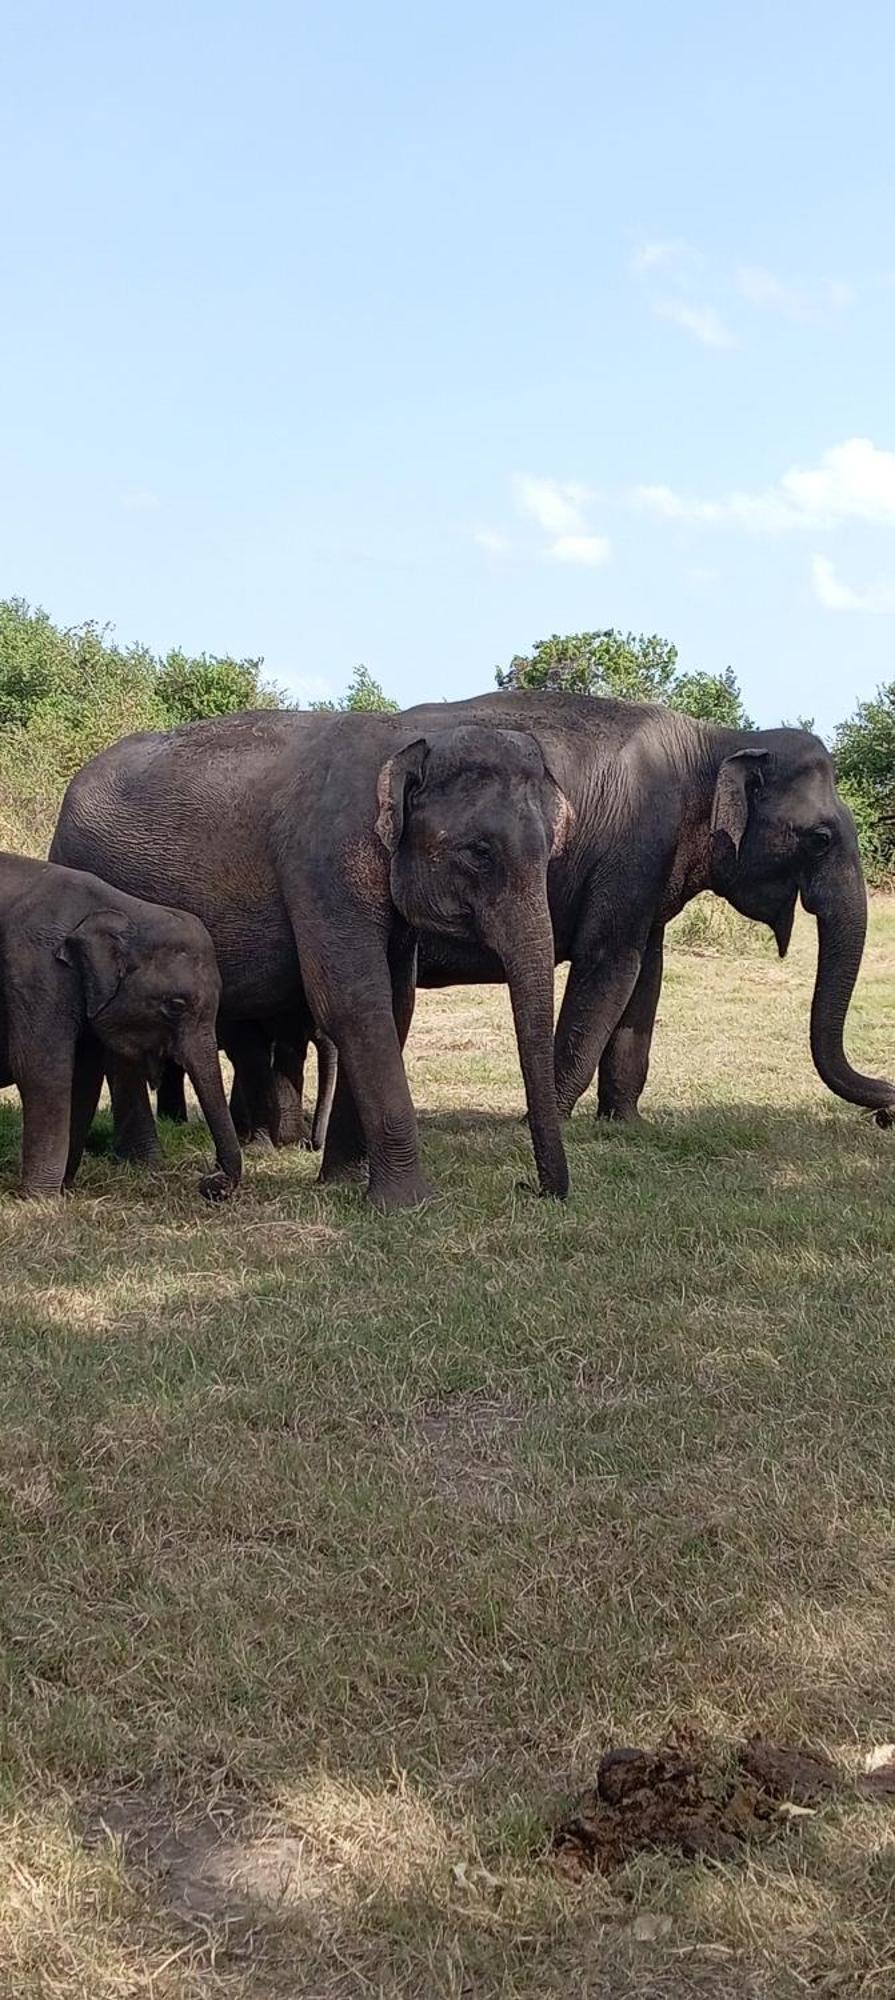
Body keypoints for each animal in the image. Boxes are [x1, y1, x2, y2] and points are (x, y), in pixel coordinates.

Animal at [0, 848, 241, 1192]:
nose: (210, 1181)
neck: (124, 908)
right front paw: (40, 1197)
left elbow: (84, 1077)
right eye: (176, 1005)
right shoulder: (36, 973)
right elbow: (43, 1070)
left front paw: (64, 1189)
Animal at [50, 716, 575, 1200]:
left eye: (551, 850)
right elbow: (353, 1004)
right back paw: (143, 1160)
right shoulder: (325, 864)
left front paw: (343, 1181)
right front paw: (405, 1204)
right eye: (479, 852)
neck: (404, 739)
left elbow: (396, 1006)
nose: (531, 1188)